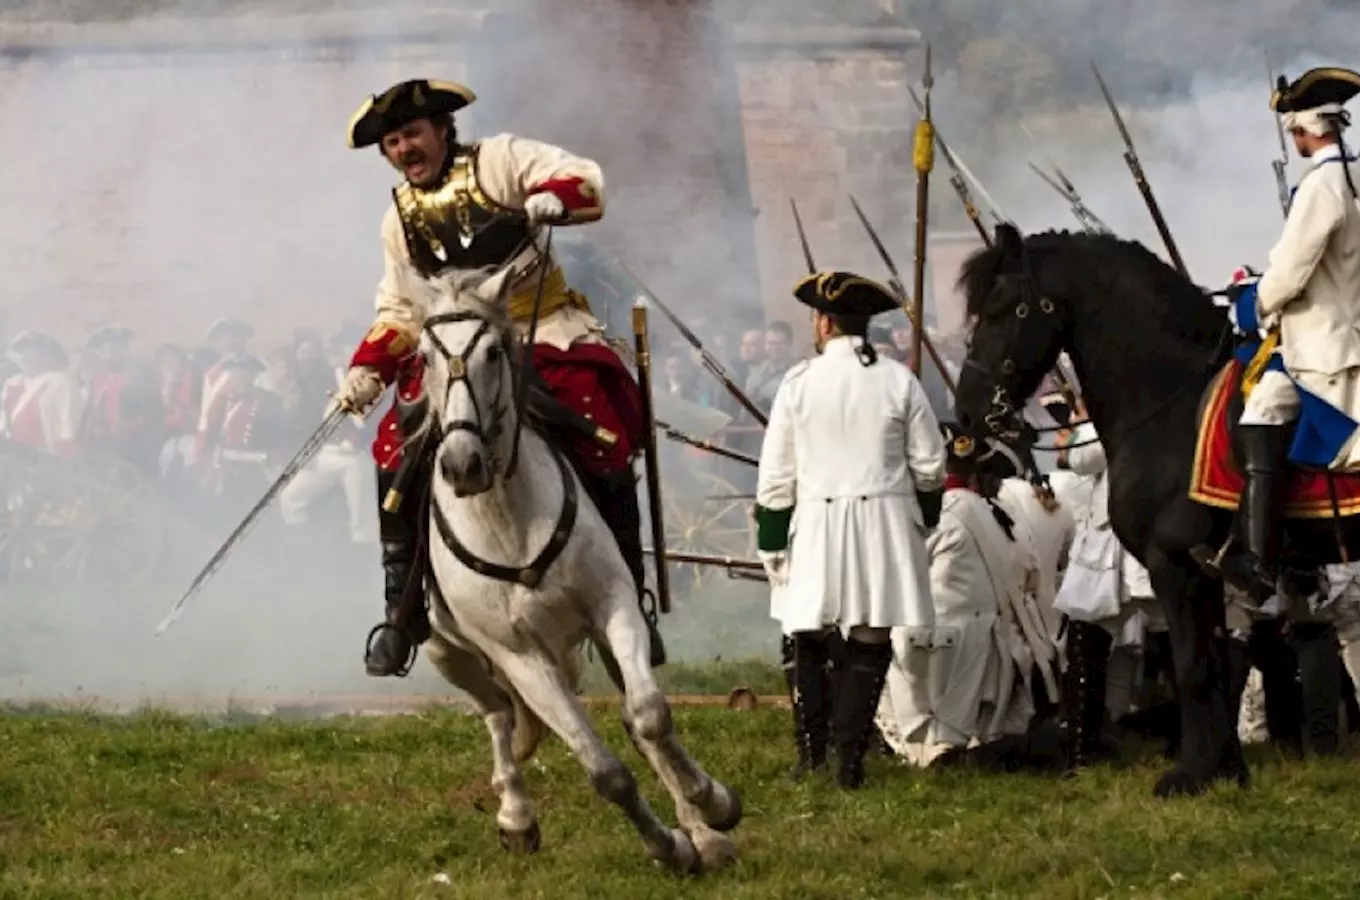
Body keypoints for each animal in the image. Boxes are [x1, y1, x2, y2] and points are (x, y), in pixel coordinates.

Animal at [410, 266, 745, 875]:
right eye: (423, 357)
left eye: (493, 352)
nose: (462, 465)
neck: (508, 520)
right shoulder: (520, 658)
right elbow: (605, 772)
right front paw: (666, 845)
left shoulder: (615, 608)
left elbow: (650, 716)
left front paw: (709, 808)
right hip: (448, 652)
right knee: (497, 715)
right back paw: (516, 815)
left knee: (634, 720)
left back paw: (702, 827)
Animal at [957, 224, 1360, 799]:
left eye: (1001, 308)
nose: (966, 411)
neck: (1168, 402)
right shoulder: (1205, 571)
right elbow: (1216, 664)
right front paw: (1226, 770)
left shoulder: (1172, 564)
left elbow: (1192, 667)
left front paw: (1189, 775)